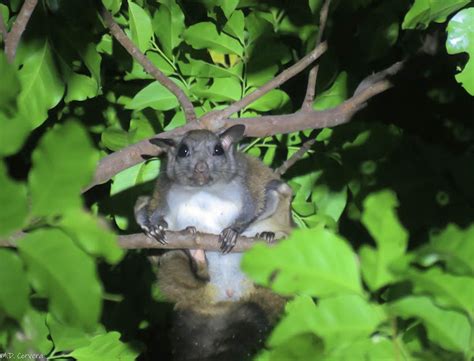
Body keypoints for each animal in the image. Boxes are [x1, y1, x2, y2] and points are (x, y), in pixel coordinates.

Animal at [133, 124, 294, 360]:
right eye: (184, 151)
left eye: (217, 150)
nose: (201, 167)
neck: (204, 190)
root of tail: (228, 297)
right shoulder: (163, 191)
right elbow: (152, 210)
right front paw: (154, 226)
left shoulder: (248, 181)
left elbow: (256, 205)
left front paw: (234, 231)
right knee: (145, 212)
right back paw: (197, 260)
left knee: (278, 189)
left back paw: (269, 239)